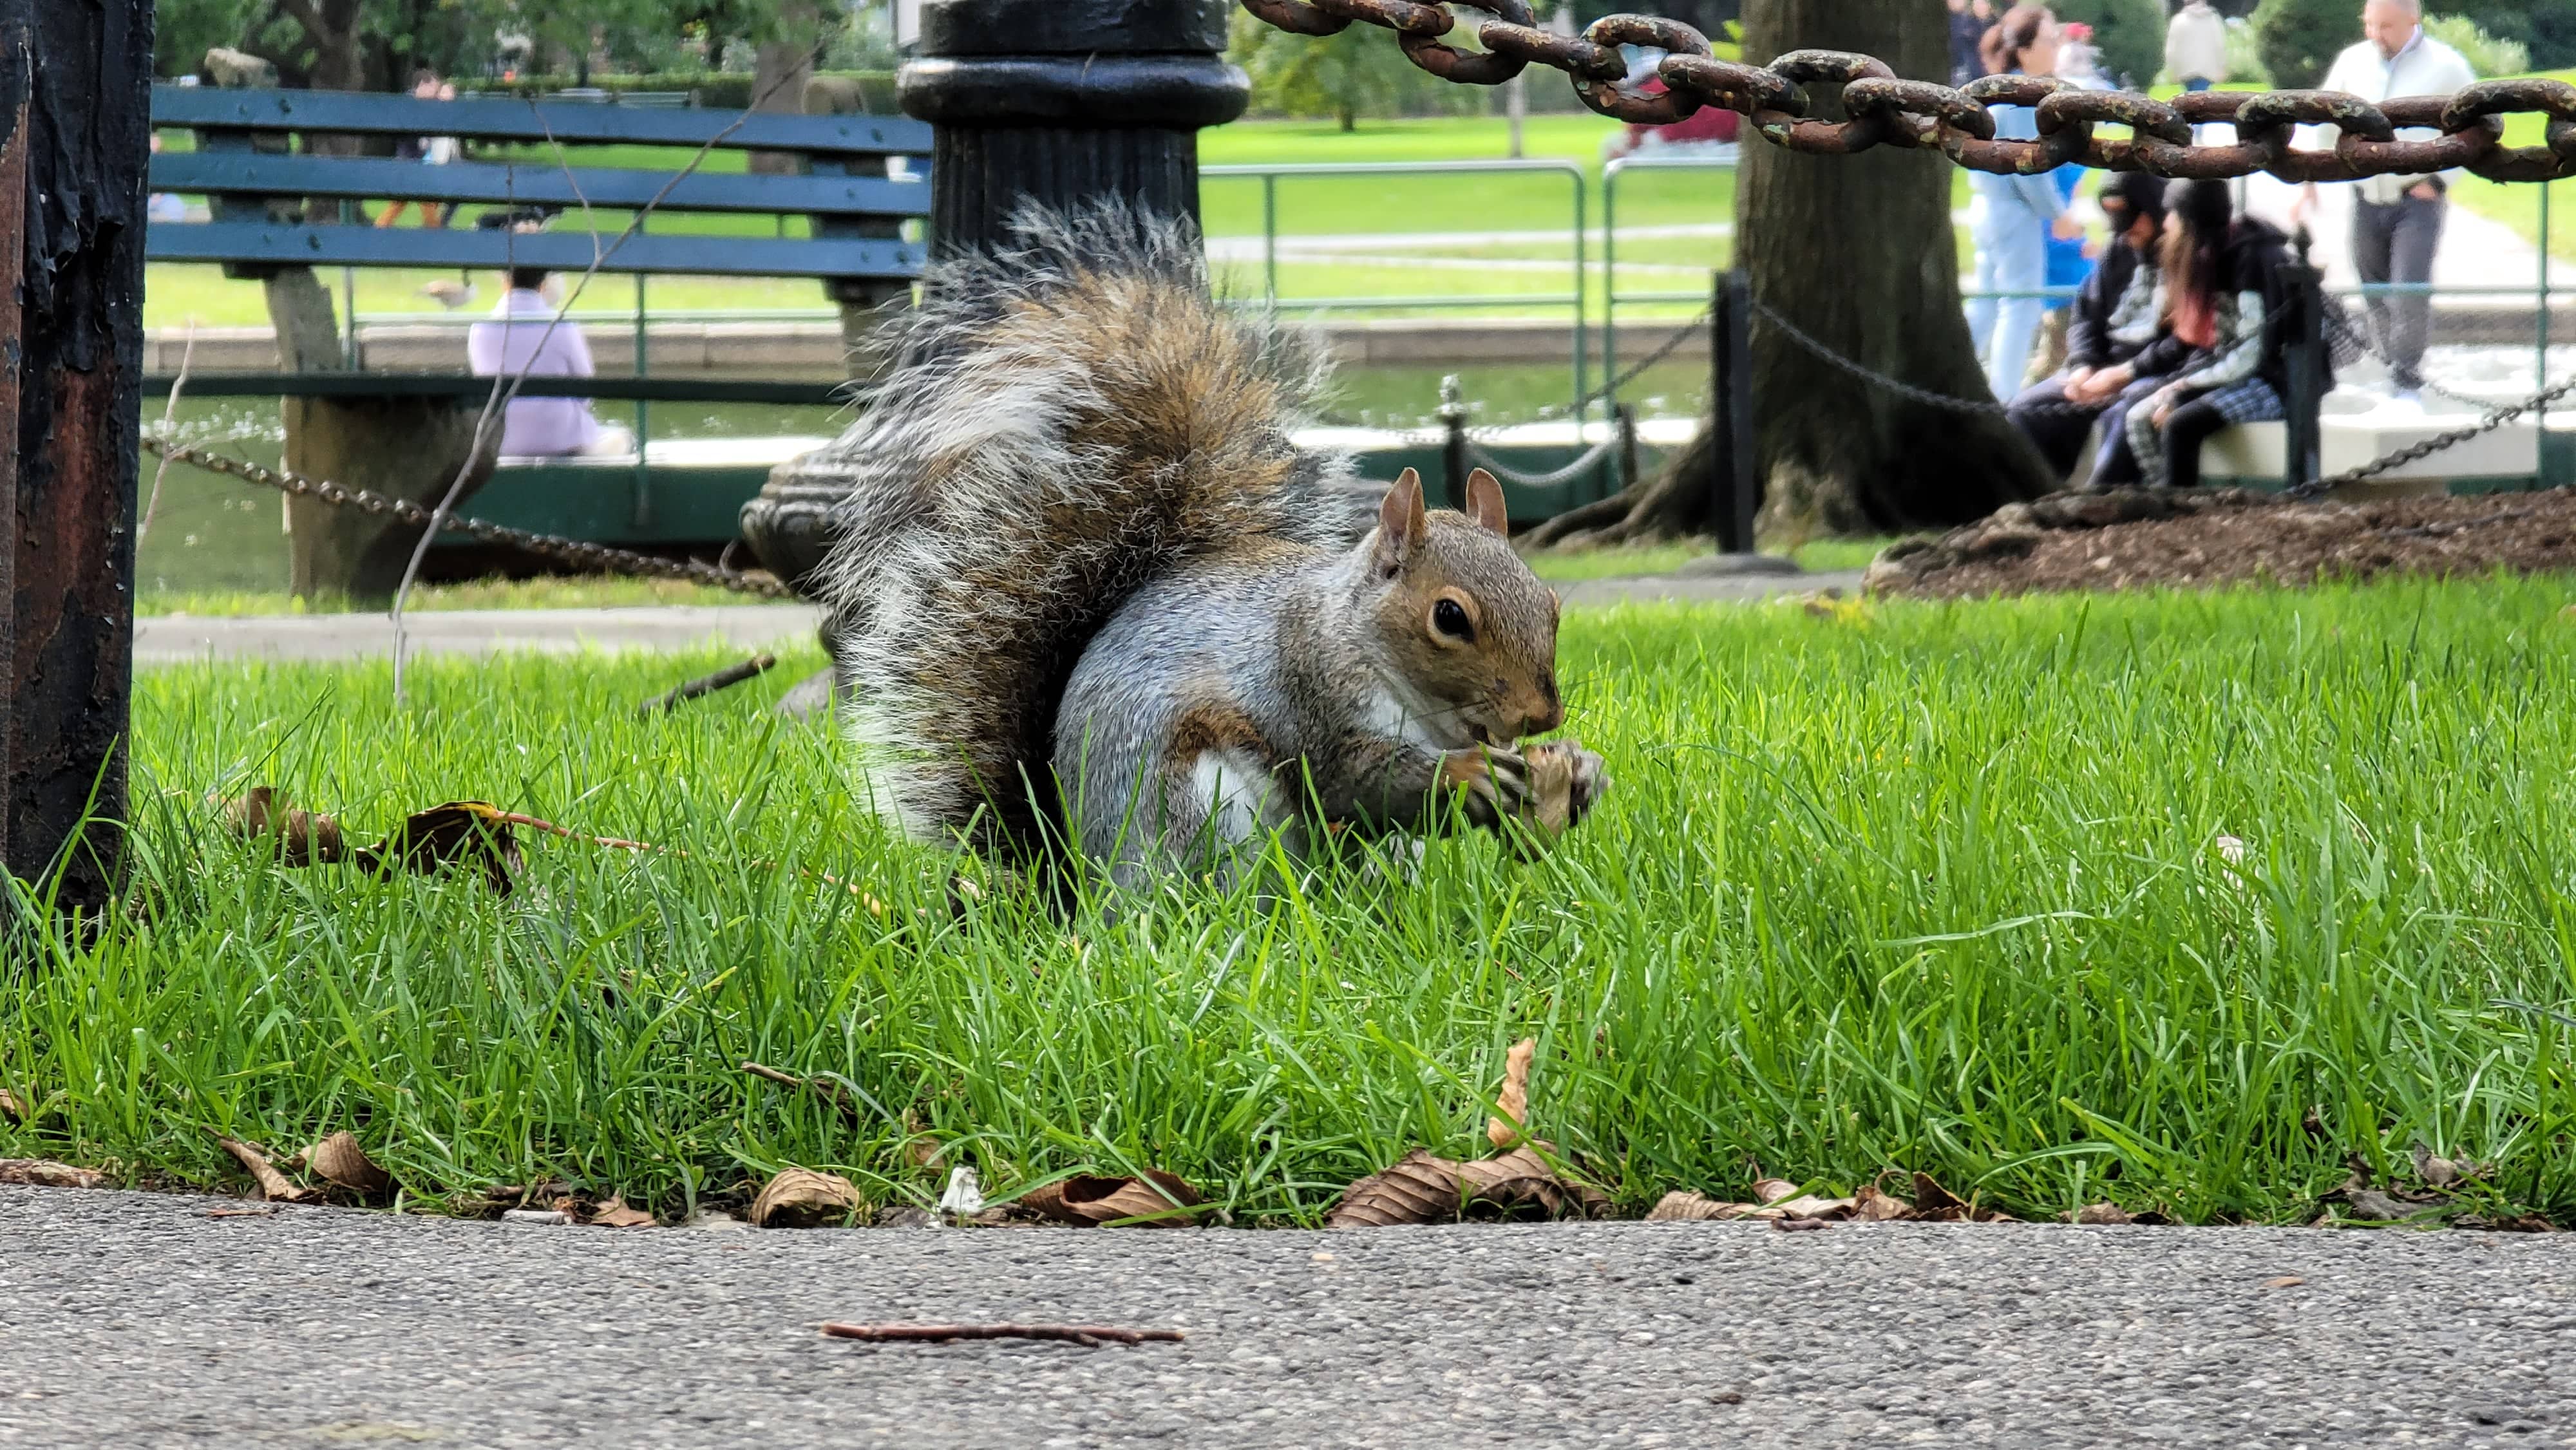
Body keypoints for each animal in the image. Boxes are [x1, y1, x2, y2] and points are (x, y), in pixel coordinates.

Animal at [814, 200, 1597, 891]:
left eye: (1552, 604)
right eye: (1449, 617)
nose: (1541, 716)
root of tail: (1082, 886)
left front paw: (1578, 771)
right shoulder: (1304, 690)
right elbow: (1355, 780)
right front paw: (1469, 774)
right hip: (1201, 805)